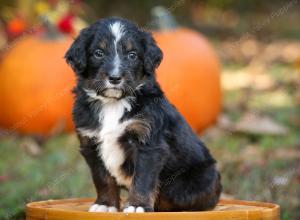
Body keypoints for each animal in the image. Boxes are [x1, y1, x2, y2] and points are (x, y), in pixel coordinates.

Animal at [65, 17, 220, 213]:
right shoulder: (91, 143)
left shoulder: (149, 144)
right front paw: (105, 204)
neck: (114, 103)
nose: (115, 78)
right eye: (98, 53)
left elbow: (143, 179)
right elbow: (102, 179)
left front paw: (137, 206)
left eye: (132, 55)